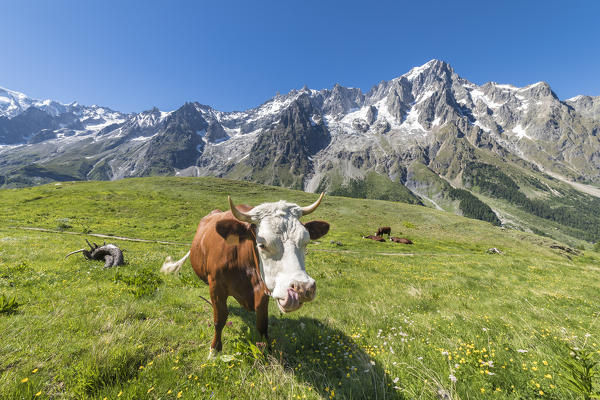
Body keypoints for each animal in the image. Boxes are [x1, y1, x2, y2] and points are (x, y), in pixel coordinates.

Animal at [161, 194, 328, 356]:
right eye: (262, 244)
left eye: (306, 241)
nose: (302, 288)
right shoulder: (216, 287)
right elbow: (219, 320)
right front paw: (214, 350)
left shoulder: (262, 292)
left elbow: (262, 324)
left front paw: (267, 351)